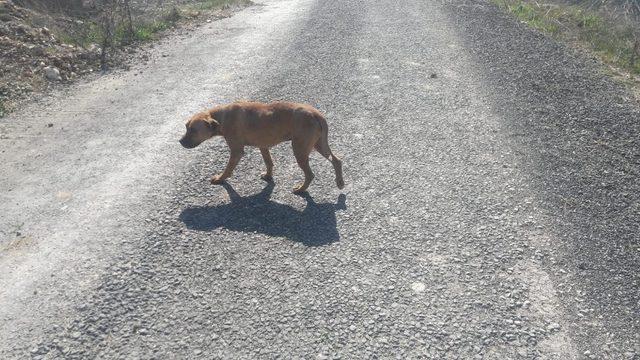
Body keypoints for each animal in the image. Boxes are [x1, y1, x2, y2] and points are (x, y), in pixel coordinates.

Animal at [178, 100, 348, 194]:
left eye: (193, 130)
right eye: (186, 127)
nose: (180, 142)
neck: (221, 117)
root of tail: (316, 114)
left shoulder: (236, 151)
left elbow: (228, 169)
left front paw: (220, 178)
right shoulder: (263, 146)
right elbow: (269, 163)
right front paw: (268, 176)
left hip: (300, 150)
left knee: (310, 174)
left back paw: (301, 189)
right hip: (319, 145)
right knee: (336, 160)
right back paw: (340, 182)